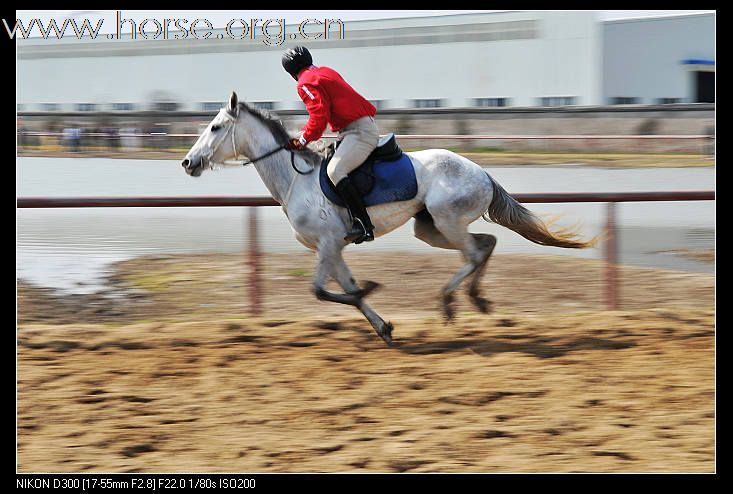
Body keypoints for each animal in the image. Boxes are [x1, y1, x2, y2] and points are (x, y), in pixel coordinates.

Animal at [183, 92, 596, 344]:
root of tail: (481, 172)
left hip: (447, 222)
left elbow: (322, 291)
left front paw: (371, 291)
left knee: (474, 253)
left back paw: (451, 301)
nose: (188, 162)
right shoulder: (331, 248)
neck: (296, 180)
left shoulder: (328, 245)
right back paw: (474, 298)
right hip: (429, 228)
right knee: (485, 244)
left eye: (215, 127)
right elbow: (344, 290)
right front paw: (382, 325)